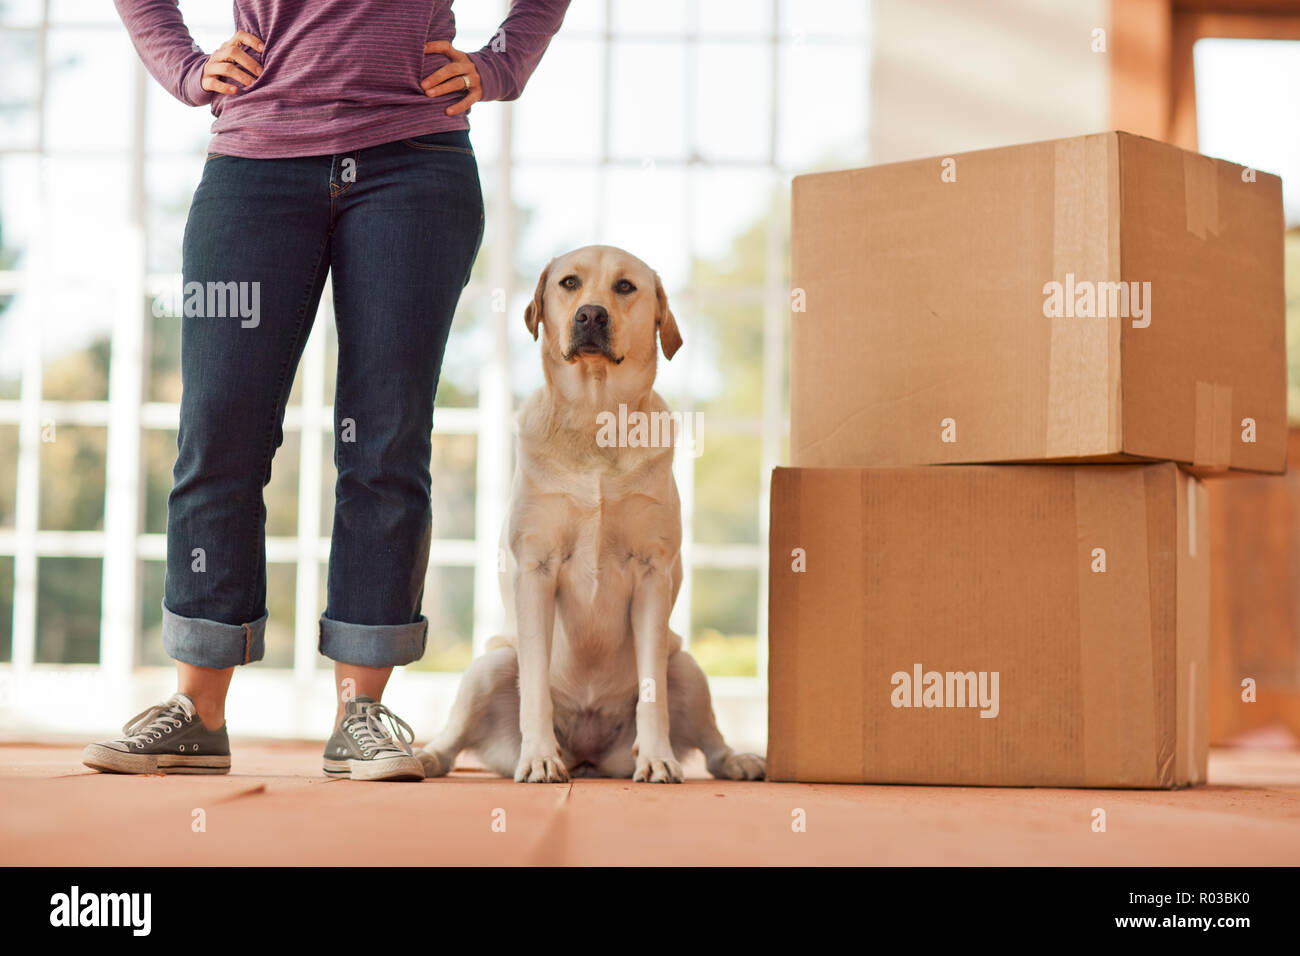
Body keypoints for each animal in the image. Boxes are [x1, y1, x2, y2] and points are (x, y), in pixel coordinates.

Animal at [413, 243, 759, 780]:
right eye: (569, 283)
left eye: (625, 286)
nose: (590, 314)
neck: (597, 420)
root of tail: (588, 756)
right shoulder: (536, 568)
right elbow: (534, 684)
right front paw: (538, 756)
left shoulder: (653, 573)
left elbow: (653, 694)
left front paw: (657, 758)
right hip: (489, 667)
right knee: (453, 740)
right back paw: (426, 756)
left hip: (686, 665)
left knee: (711, 739)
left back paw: (738, 760)